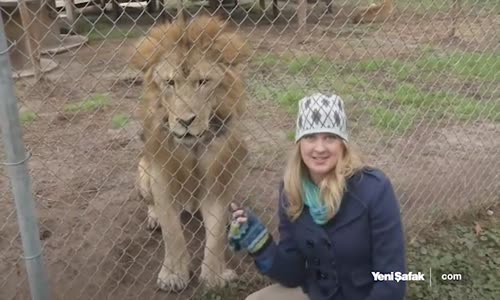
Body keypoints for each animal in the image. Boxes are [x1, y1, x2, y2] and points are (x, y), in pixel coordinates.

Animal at [130, 15, 250, 290]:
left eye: (203, 82)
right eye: (170, 83)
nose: (185, 121)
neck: (193, 146)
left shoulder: (219, 180)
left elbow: (215, 236)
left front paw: (214, 277)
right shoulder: (161, 177)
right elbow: (172, 232)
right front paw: (173, 276)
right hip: (142, 169)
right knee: (150, 204)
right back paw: (153, 218)